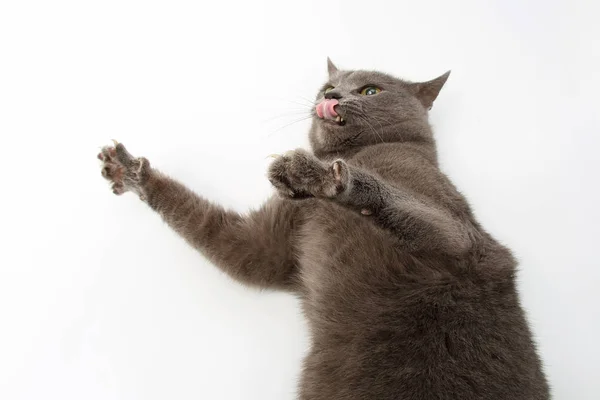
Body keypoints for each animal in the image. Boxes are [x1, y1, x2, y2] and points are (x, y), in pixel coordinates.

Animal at [97, 57, 548, 398]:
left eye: (369, 91)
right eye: (327, 85)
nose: (331, 97)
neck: (364, 152)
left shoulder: (460, 239)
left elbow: (393, 200)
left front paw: (319, 176)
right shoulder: (270, 242)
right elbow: (220, 235)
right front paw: (132, 172)